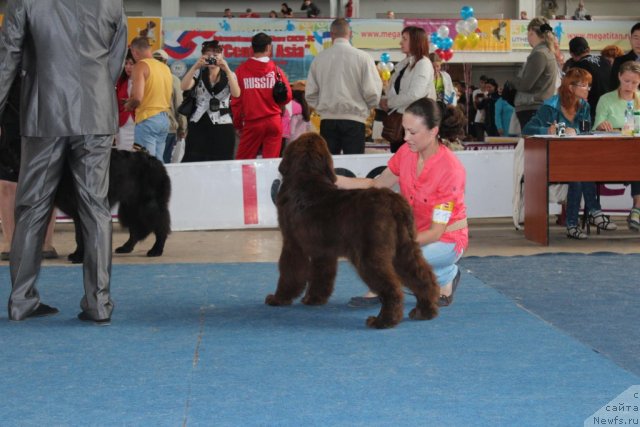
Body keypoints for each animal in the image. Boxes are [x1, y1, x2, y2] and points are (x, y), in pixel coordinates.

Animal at [264, 135, 440, 332]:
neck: (307, 177)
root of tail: (393, 202)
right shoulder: (323, 251)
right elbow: (321, 275)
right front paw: (314, 299)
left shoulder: (292, 244)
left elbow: (289, 273)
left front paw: (278, 299)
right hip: (404, 249)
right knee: (422, 277)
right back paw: (425, 311)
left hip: (370, 256)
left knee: (392, 288)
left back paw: (383, 321)